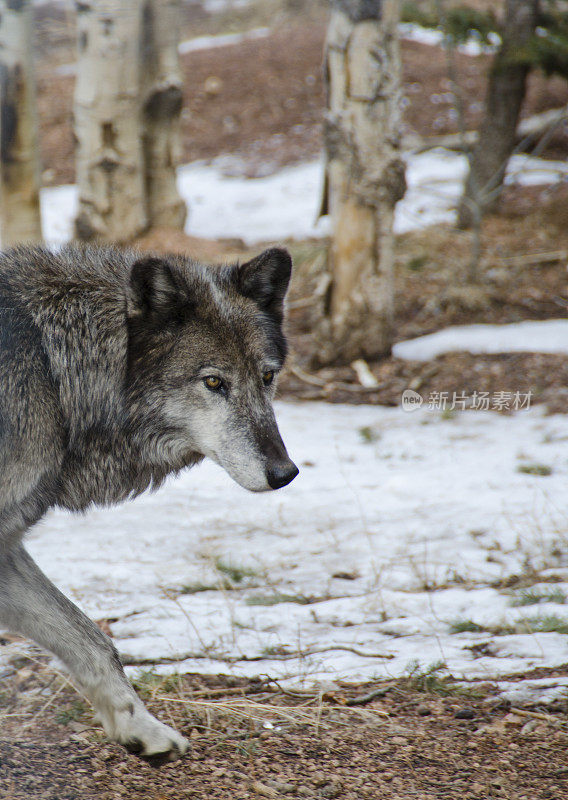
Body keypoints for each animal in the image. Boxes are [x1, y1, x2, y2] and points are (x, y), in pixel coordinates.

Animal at [0, 244, 300, 764]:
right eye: (214, 383)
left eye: (267, 377)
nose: (284, 472)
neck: (53, 373)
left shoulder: (5, 547)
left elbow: (93, 640)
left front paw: (141, 728)